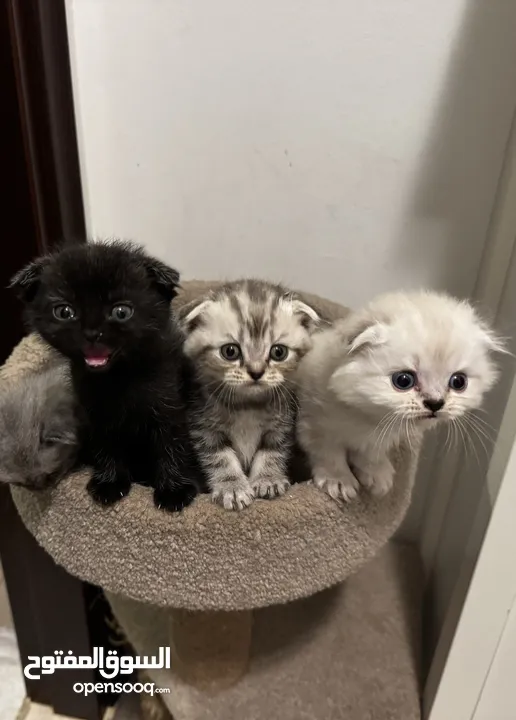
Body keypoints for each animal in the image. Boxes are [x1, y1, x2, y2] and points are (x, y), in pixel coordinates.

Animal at [12, 239, 206, 510]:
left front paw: (174, 491)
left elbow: (172, 444)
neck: (118, 378)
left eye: (121, 312)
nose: (92, 333)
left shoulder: (170, 408)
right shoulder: (95, 414)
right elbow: (106, 446)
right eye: (64, 312)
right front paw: (110, 483)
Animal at [180, 278, 318, 510]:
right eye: (230, 351)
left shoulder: (280, 426)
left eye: (278, 352)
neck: (247, 406)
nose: (256, 372)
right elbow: (220, 458)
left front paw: (267, 480)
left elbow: (272, 452)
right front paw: (232, 487)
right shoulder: (204, 427)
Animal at [296, 292, 502, 500]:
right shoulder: (316, 425)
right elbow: (330, 454)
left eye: (459, 382)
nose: (435, 403)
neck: (367, 418)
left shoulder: (379, 436)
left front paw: (376, 473)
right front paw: (339, 480)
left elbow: (371, 453)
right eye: (403, 381)